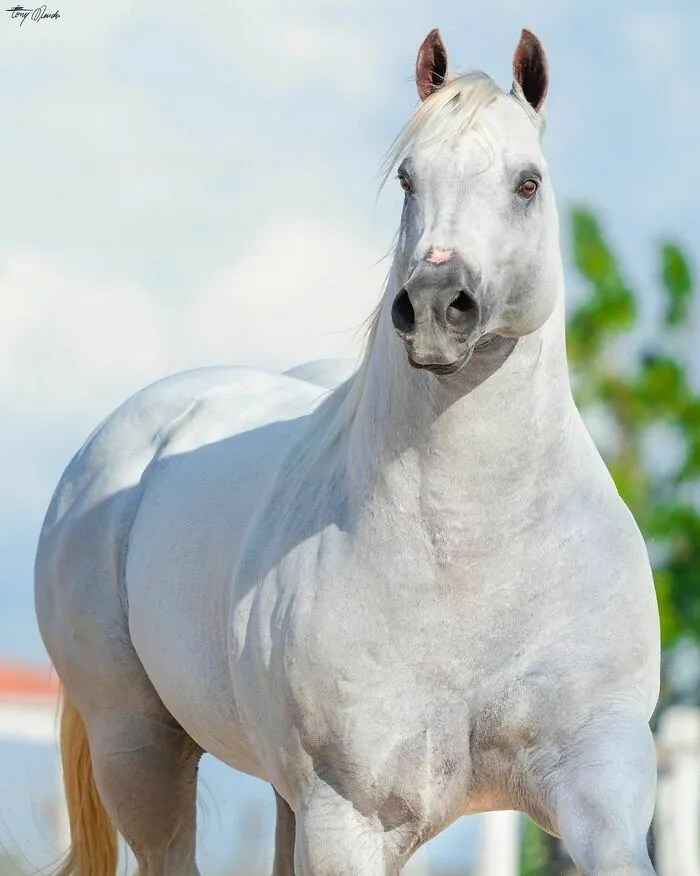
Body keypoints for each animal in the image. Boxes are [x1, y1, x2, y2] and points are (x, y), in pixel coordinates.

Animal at [35, 27, 660, 876]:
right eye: (408, 179)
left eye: (527, 183)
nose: (435, 306)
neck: (474, 556)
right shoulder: (350, 814)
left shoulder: (600, 787)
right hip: (141, 751)